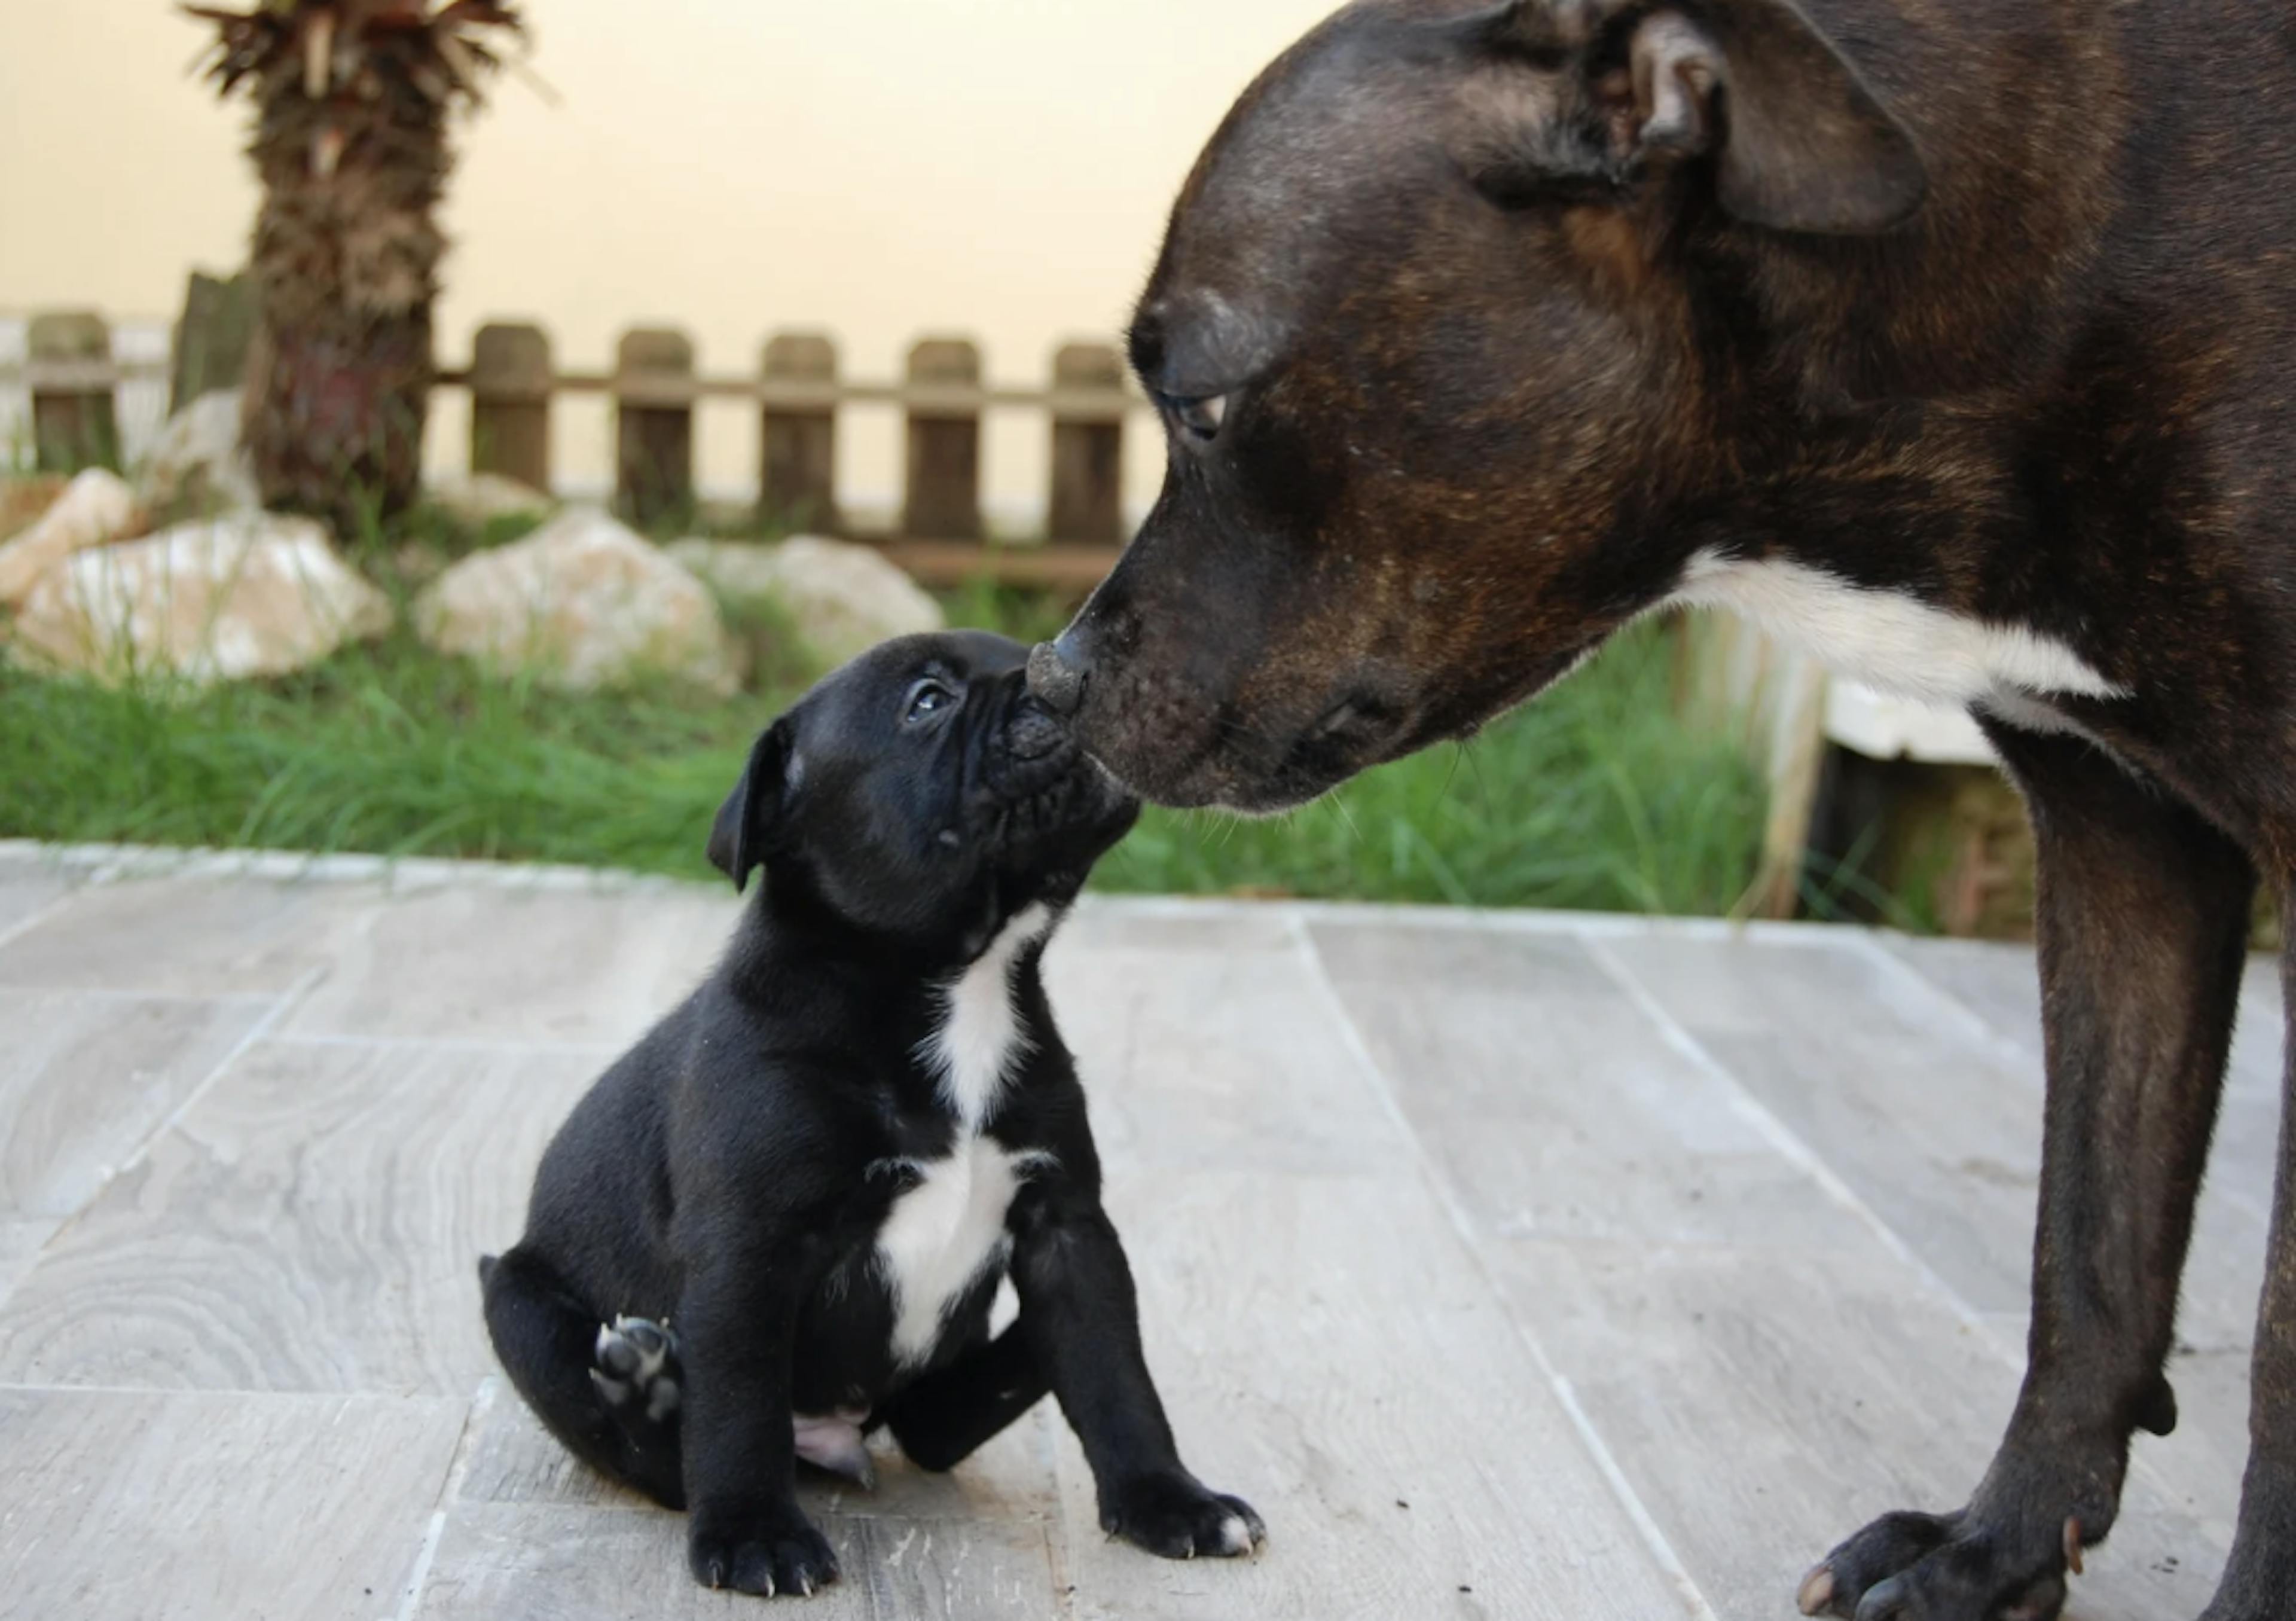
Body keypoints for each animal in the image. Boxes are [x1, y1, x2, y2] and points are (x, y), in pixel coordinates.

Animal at [480, 629, 1258, 1589]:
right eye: (926, 701)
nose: (1060, 668)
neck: (960, 981)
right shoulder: (748, 1250)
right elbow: (736, 1409)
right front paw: (754, 1532)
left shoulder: (1066, 1227)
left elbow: (1116, 1374)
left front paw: (1170, 1499)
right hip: (516, 1300)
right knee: (656, 1458)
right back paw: (647, 1388)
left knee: (940, 1421)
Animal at [1033, 3, 2296, 1616]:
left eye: (1195, 401)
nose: (1053, 675)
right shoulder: (2123, 840)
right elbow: (2089, 1251)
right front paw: (1989, 1547)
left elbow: (2275, 1349)